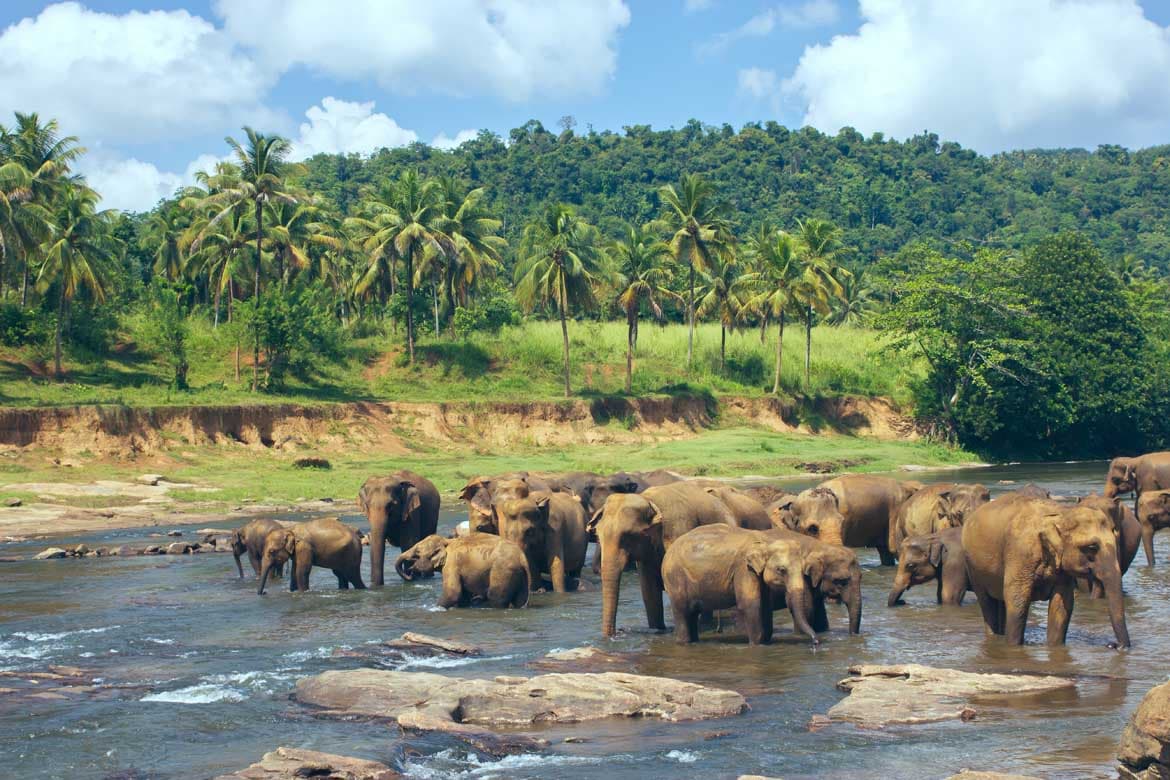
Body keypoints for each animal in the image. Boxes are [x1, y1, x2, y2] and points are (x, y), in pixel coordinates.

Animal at [395, 534, 530, 608]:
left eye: (417, 554)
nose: (410, 574)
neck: (447, 541)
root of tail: (522, 557)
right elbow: (463, 596)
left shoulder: (451, 564)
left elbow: (453, 593)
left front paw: (435, 608)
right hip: (520, 574)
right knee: (520, 600)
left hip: (502, 570)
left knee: (495, 597)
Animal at [588, 481, 739, 637]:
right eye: (598, 535)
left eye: (628, 536)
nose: (616, 633)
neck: (649, 500)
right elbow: (648, 590)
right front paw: (657, 629)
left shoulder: (678, 531)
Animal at [662, 525, 817, 644]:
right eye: (781, 570)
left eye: (803, 569)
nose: (816, 642)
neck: (766, 541)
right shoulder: (744, 568)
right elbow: (750, 604)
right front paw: (756, 644)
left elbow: (766, 605)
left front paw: (766, 641)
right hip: (675, 578)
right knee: (682, 611)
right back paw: (684, 642)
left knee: (692, 613)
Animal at [962, 497, 1130, 647]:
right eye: (1092, 547)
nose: (1112, 645)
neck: (1062, 513)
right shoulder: (1020, 553)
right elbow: (1017, 599)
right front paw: (1013, 646)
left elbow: (1062, 605)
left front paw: (1055, 647)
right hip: (973, 568)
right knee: (986, 602)